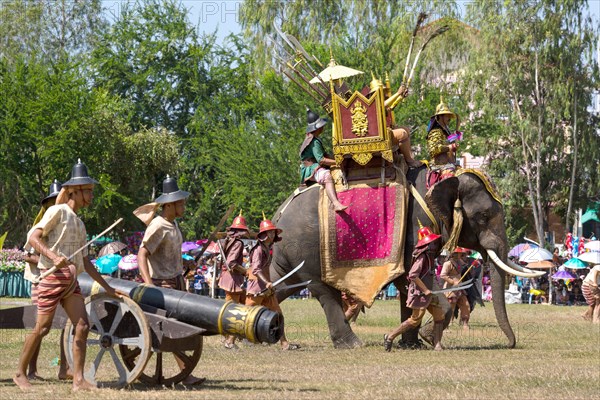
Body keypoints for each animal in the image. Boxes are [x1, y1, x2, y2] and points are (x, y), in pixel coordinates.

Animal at [272, 164, 544, 348]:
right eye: (484, 216)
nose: (511, 343)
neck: (441, 177)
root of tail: (278, 215)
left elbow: (409, 285)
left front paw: (412, 343)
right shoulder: (414, 228)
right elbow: (415, 276)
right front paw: (428, 337)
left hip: (289, 254)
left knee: (281, 285)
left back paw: (275, 340)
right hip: (306, 248)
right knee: (323, 292)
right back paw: (352, 344)